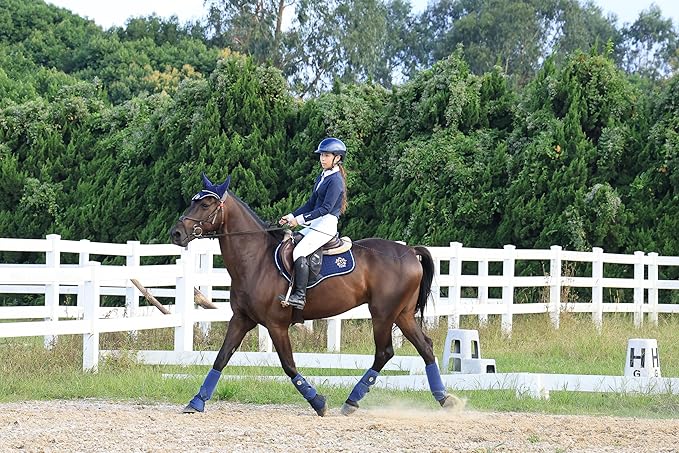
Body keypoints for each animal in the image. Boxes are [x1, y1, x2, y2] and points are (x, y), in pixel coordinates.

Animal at [170, 173, 460, 416]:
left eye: (206, 204)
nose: (176, 233)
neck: (256, 259)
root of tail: (410, 251)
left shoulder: (276, 325)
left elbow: (288, 365)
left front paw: (318, 402)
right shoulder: (241, 319)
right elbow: (221, 358)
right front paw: (196, 402)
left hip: (383, 314)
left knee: (385, 352)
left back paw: (352, 400)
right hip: (402, 314)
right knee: (425, 347)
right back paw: (444, 399)